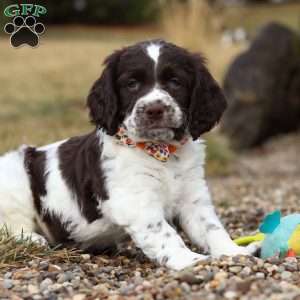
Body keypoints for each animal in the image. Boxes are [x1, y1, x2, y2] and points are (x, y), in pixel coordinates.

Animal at [0, 39, 256, 270]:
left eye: (175, 82)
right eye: (132, 84)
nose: (155, 109)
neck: (162, 151)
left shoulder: (192, 196)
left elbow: (211, 227)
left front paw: (235, 252)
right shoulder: (136, 200)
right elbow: (164, 232)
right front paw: (190, 260)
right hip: (16, 180)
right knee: (10, 226)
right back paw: (33, 239)